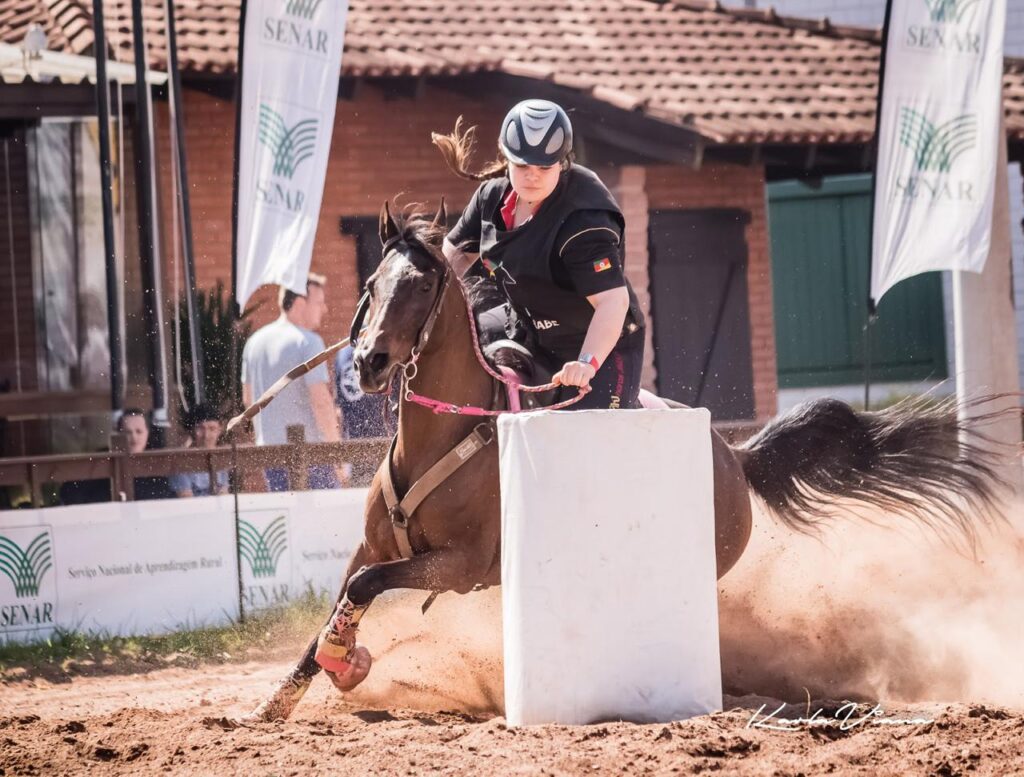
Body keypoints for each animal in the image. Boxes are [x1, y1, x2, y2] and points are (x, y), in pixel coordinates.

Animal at [247, 201, 1007, 724]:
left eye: (422, 287)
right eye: (373, 283)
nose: (369, 362)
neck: (445, 438)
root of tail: (734, 455)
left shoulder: (461, 566)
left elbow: (368, 586)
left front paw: (347, 662)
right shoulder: (373, 544)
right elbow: (344, 598)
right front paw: (281, 700)